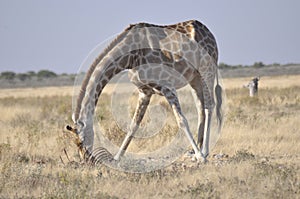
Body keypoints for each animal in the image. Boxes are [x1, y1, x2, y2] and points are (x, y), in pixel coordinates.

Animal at [65, 19, 223, 163]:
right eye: (75, 142)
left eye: (80, 142)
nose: (86, 160)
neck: (129, 57)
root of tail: (210, 33)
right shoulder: (145, 91)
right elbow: (133, 125)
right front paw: (117, 158)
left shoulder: (167, 86)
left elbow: (181, 120)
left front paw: (201, 157)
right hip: (194, 78)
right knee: (201, 108)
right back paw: (196, 151)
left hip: (207, 70)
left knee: (209, 106)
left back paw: (204, 152)